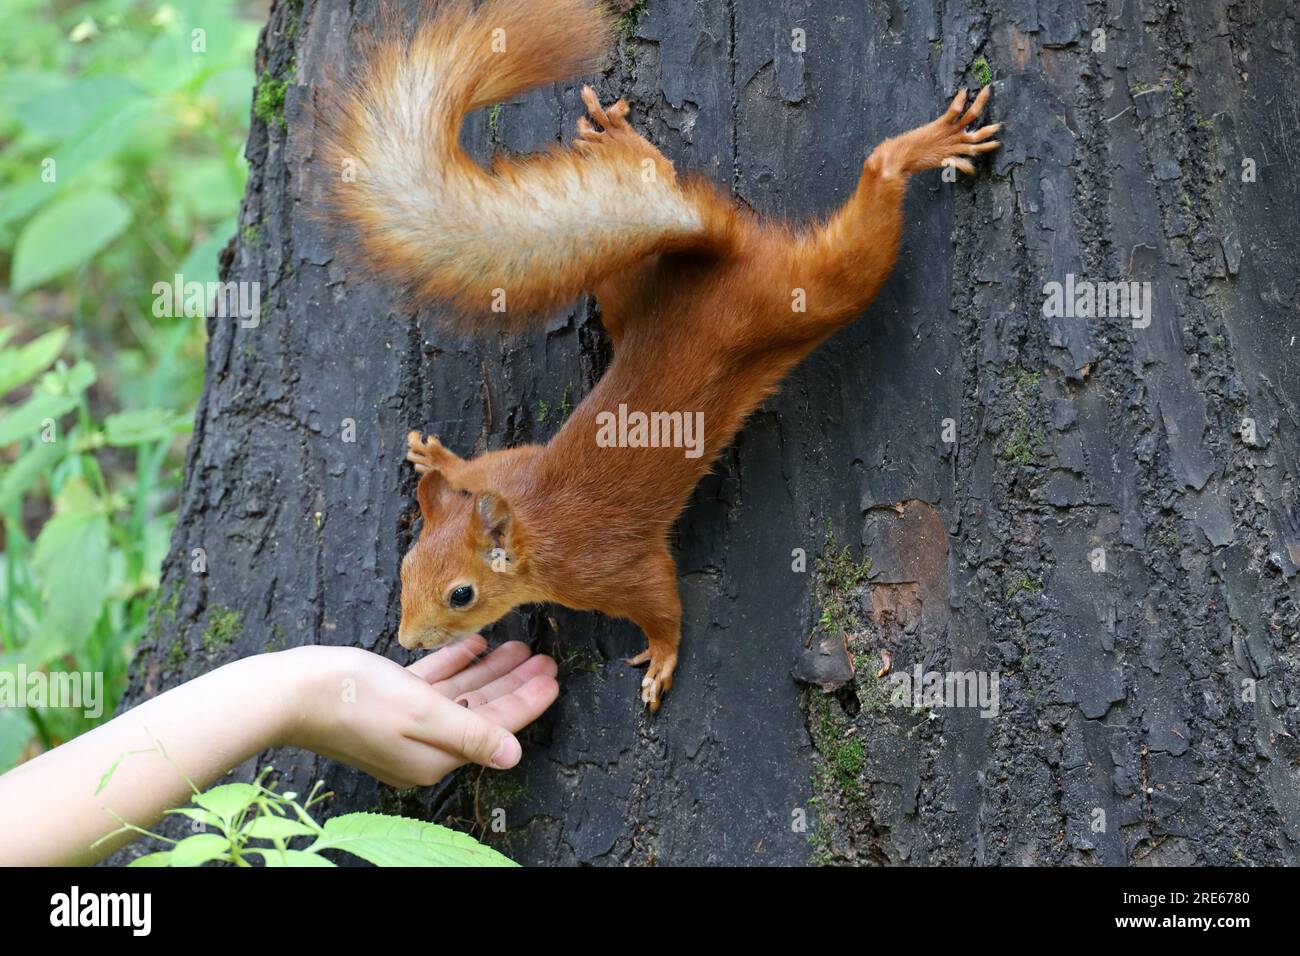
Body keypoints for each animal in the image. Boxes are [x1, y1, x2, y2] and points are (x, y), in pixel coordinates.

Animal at [319, 0, 998, 712]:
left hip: (806, 298)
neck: (534, 525)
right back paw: (628, 147)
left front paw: (662, 660)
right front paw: (441, 459)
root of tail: (725, 262)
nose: (408, 639)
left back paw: (921, 149)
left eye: (461, 594)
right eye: (406, 567)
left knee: (873, 190)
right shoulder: (516, 469)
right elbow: (491, 463)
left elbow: (661, 602)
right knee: (658, 186)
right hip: (627, 286)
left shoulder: (612, 566)